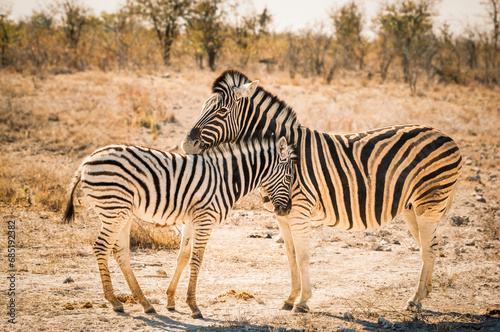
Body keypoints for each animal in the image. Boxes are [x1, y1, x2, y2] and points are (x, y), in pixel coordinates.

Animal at [62, 136, 296, 318]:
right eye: (289, 177)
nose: (286, 210)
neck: (226, 178)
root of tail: (87, 160)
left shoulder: (192, 220)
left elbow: (182, 257)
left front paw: (171, 301)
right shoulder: (205, 218)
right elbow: (196, 259)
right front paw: (193, 306)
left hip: (121, 212)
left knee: (120, 252)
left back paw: (144, 303)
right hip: (114, 208)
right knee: (101, 247)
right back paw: (114, 301)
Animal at [182, 68, 462, 312]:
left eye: (221, 110)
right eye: (203, 107)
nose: (187, 145)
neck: (284, 153)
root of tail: (448, 136)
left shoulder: (299, 211)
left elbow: (304, 256)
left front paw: (303, 302)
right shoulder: (282, 215)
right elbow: (291, 256)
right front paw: (290, 298)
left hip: (429, 203)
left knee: (429, 246)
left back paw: (415, 300)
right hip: (412, 207)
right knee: (429, 245)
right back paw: (423, 294)